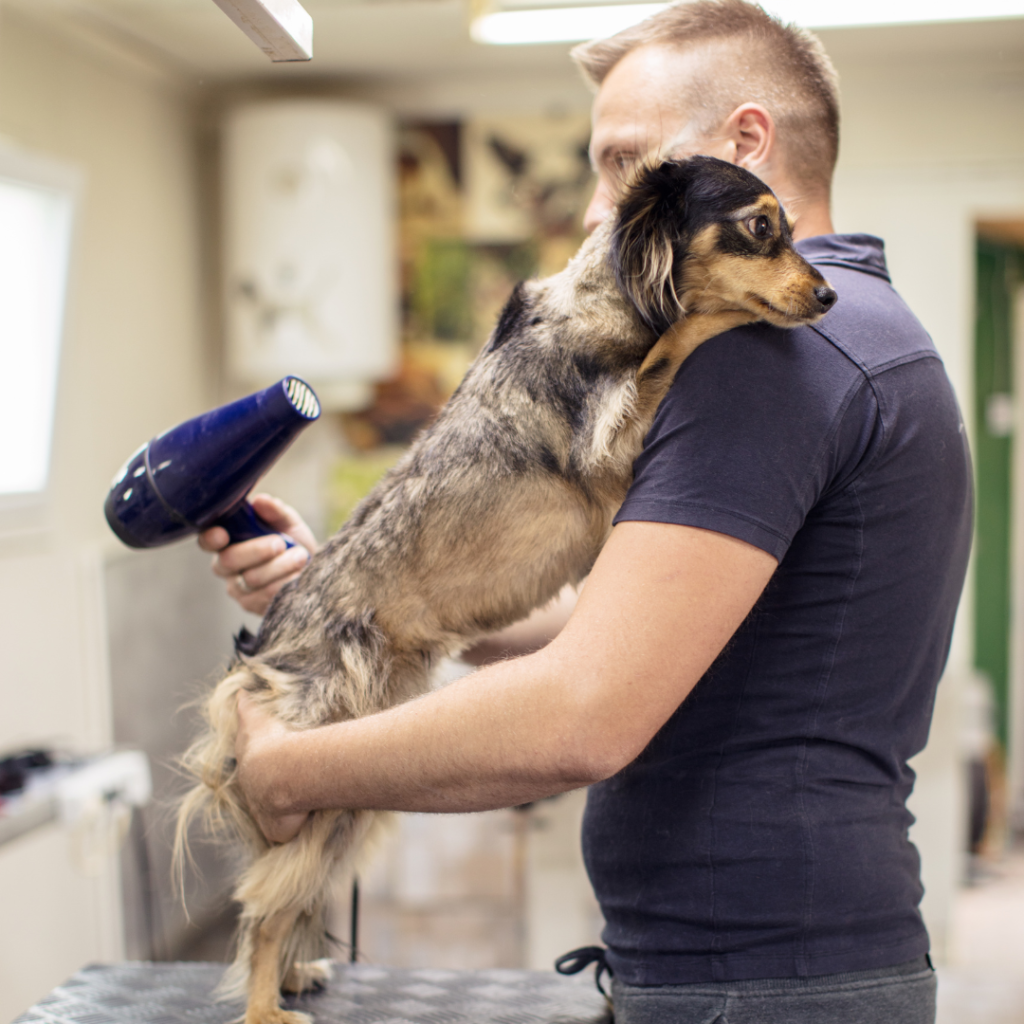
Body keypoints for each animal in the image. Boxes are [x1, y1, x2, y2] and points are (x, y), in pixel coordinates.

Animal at [174, 153, 831, 1024]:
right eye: (761, 228)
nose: (828, 296)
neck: (606, 307)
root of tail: (267, 642)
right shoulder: (613, 442)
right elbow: (683, 337)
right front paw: (712, 320)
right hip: (319, 788)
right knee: (263, 909)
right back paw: (263, 1005)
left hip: (347, 795)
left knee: (286, 896)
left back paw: (291, 976)